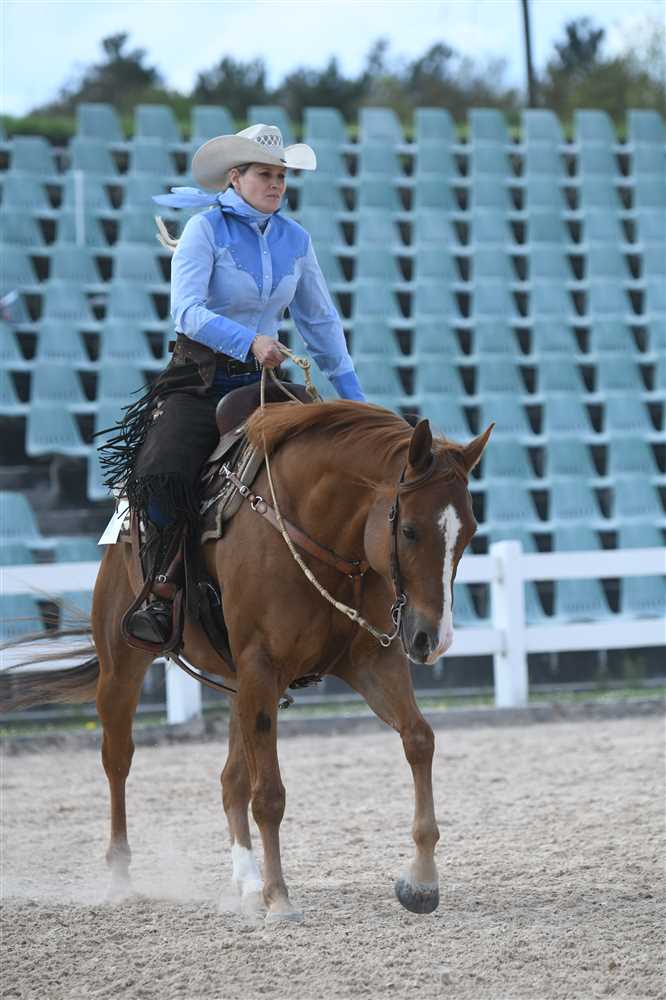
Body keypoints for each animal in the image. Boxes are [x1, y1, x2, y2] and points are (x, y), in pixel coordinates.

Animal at [1, 399, 492, 923]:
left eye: (469, 534)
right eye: (410, 530)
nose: (432, 639)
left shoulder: (370, 663)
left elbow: (419, 739)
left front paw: (421, 880)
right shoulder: (263, 666)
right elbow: (270, 795)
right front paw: (280, 897)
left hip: (243, 688)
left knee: (230, 780)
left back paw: (247, 881)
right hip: (123, 668)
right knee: (118, 760)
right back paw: (121, 876)